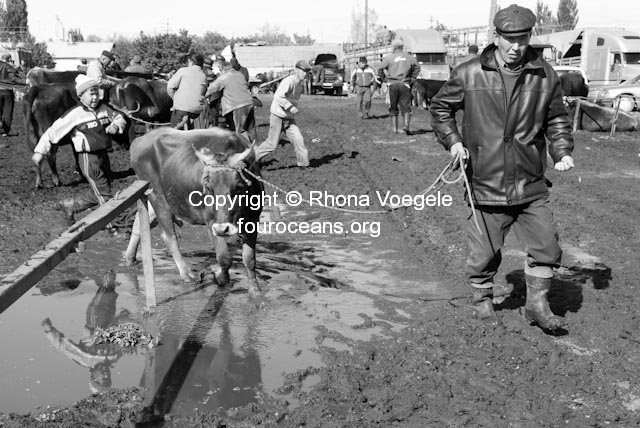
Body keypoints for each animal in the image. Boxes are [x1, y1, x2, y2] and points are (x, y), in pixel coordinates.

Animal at [124, 127, 264, 294]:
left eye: (239, 187)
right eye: (208, 189)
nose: (222, 229)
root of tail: (138, 141)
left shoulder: (254, 220)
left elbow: (250, 259)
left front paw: (255, 290)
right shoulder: (211, 221)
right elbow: (224, 258)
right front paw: (218, 275)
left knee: (139, 223)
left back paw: (130, 258)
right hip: (157, 197)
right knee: (169, 236)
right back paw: (186, 274)